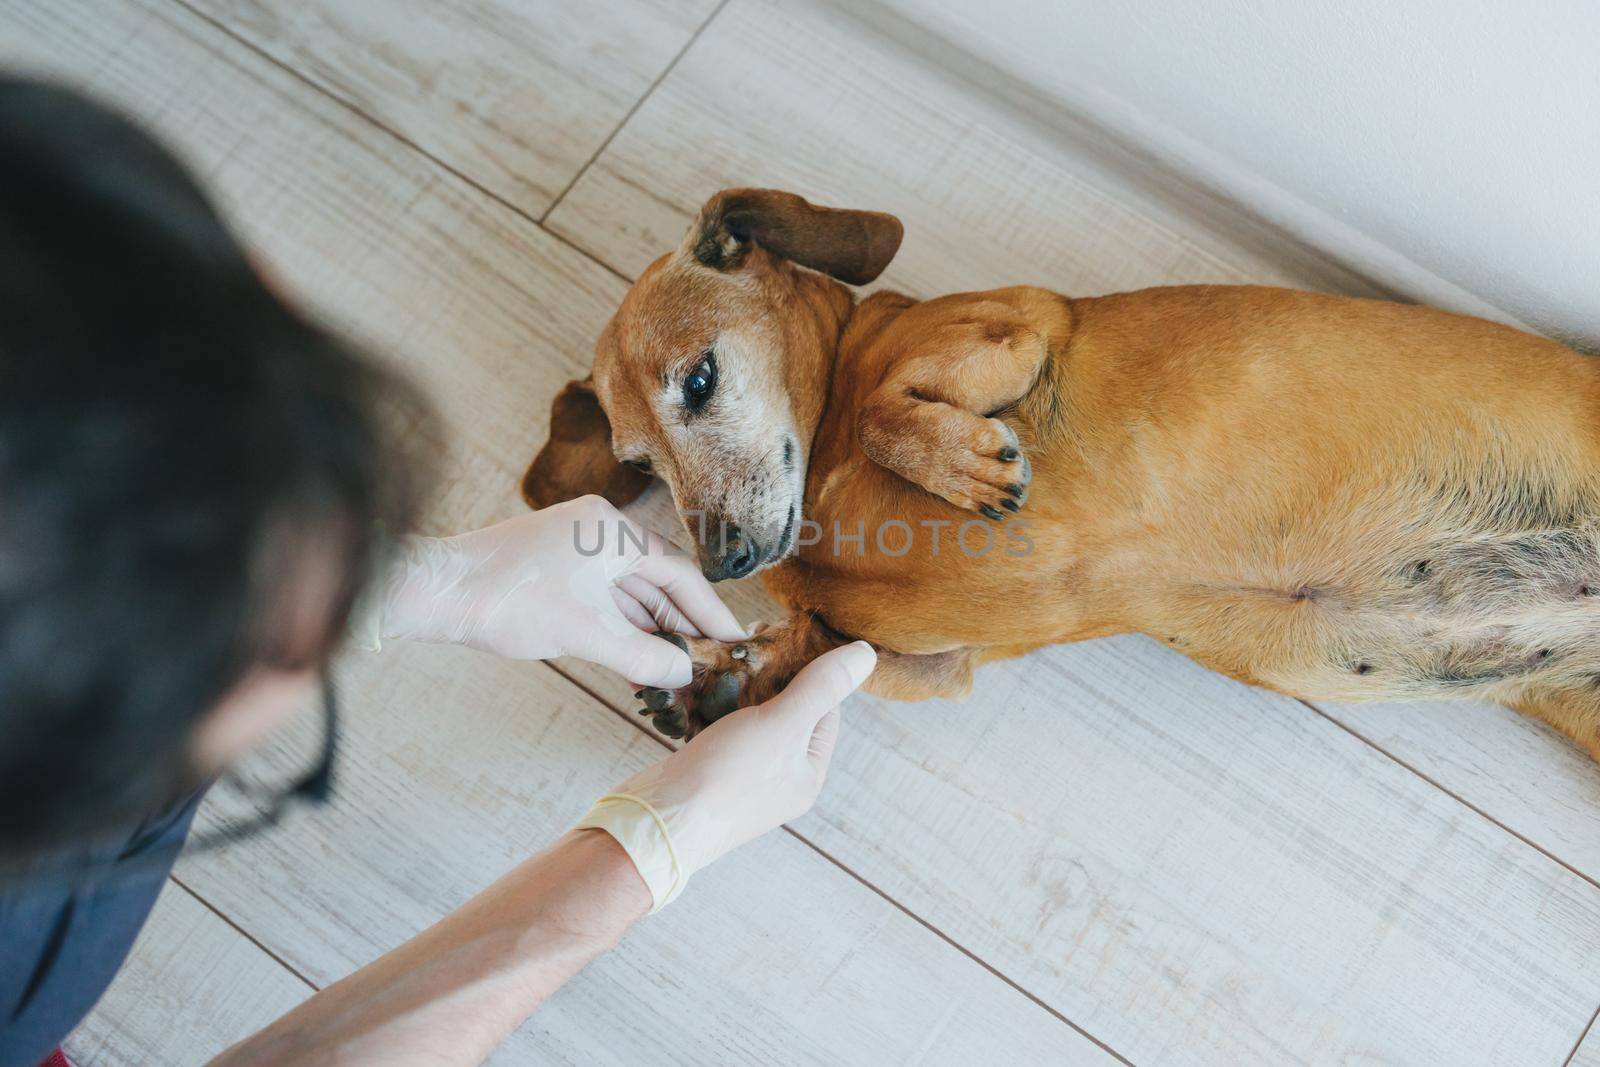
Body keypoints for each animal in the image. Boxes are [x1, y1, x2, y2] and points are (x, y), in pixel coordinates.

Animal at [524, 191, 1600, 758]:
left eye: (700, 379)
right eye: (636, 460)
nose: (723, 562)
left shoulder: (1015, 329)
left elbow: (885, 410)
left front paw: (963, 462)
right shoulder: (930, 666)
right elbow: (819, 654)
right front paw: (722, 678)